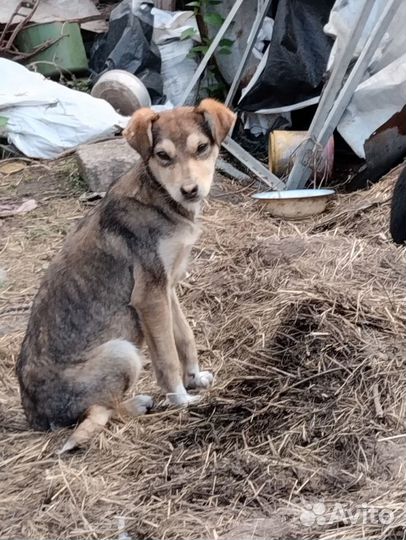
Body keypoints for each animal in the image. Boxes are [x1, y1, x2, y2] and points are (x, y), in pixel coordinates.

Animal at [16, 98, 235, 452]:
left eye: (202, 148)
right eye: (163, 155)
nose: (189, 191)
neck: (160, 199)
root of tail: (35, 417)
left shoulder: (166, 286)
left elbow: (184, 337)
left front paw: (194, 379)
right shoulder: (149, 296)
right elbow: (167, 357)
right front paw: (181, 398)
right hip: (122, 352)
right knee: (102, 410)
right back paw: (138, 404)